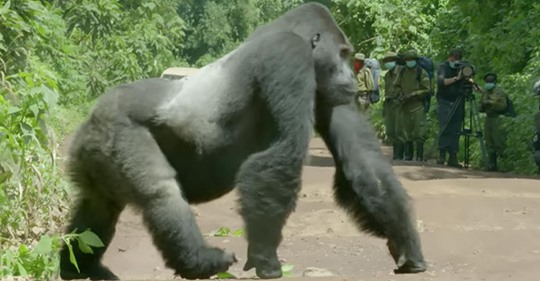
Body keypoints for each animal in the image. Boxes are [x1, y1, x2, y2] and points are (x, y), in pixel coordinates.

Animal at [59, 2, 426, 280]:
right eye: (343, 53)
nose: (352, 76)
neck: (293, 33)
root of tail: (90, 119)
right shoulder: (288, 57)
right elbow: (283, 155)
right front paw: (265, 258)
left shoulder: (328, 90)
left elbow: (362, 162)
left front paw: (405, 242)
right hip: (116, 127)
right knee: (161, 193)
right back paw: (199, 261)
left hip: (94, 149)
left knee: (98, 208)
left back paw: (80, 268)